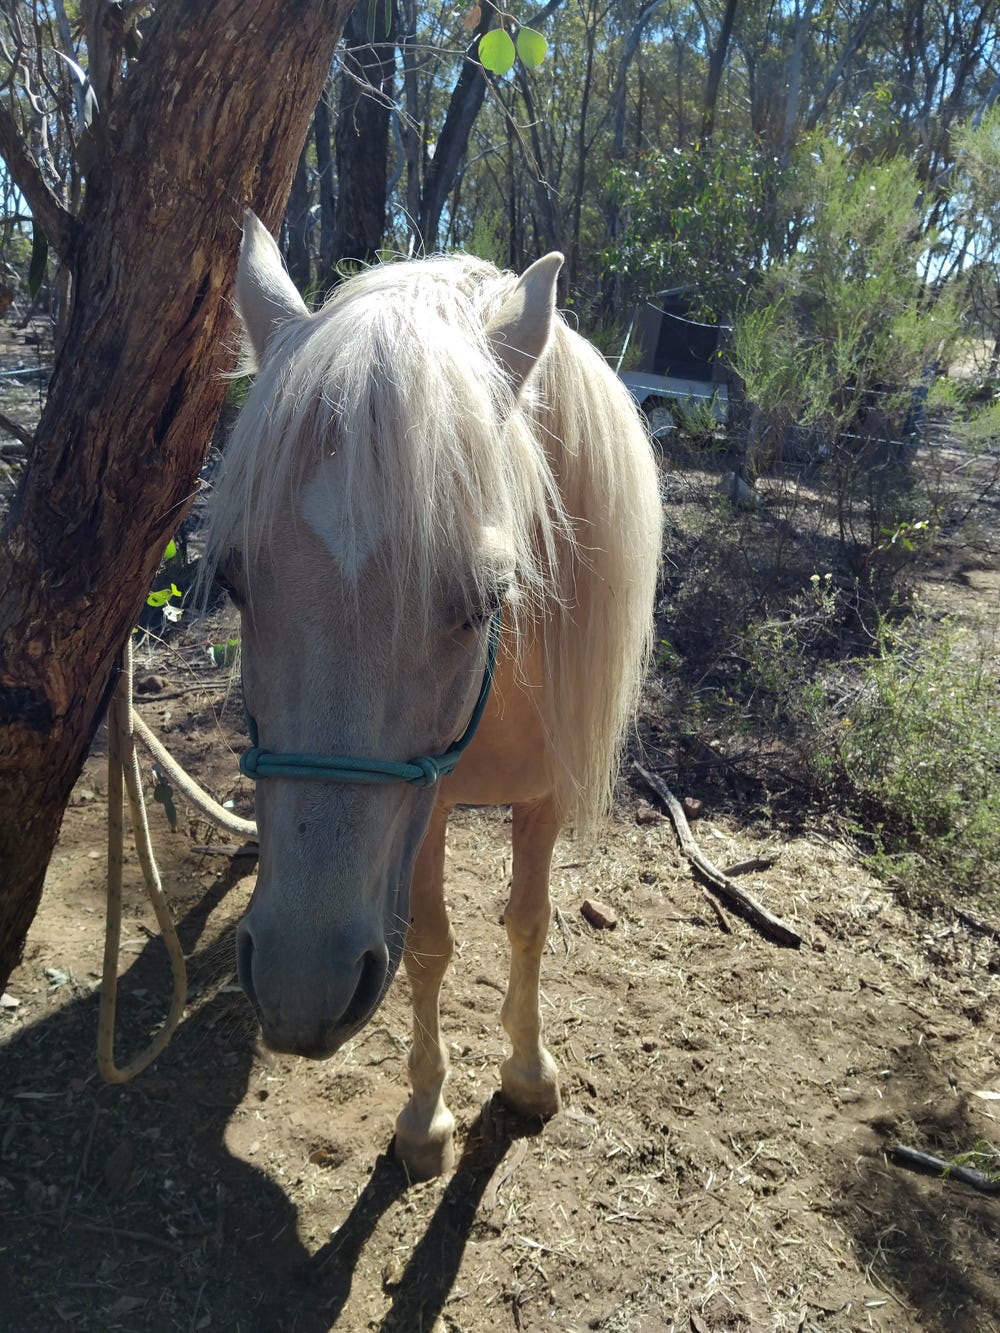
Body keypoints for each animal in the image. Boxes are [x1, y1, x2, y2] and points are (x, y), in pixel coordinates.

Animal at [206, 212, 662, 1179]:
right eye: (232, 580)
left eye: (485, 599)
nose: (300, 982)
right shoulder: (429, 808)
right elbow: (428, 946)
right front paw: (424, 1115)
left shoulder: (542, 797)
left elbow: (528, 922)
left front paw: (527, 1072)